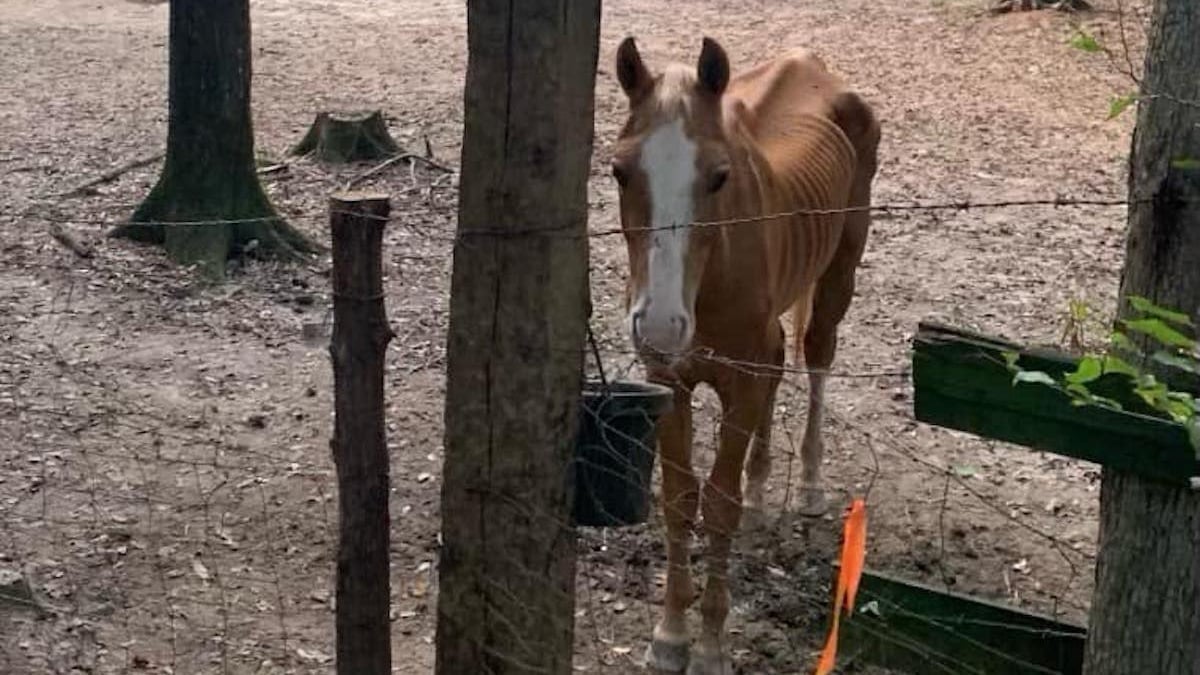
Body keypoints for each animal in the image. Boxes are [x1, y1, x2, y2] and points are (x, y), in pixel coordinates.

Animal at [609, 36, 883, 672]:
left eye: (719, 177)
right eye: (618, 171)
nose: (660, 323)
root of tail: (813, 67)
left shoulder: (740, 382)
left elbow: (719, 504)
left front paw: (710, 645)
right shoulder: (671, 381)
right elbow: (681, 499)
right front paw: (670, 634)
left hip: (838, 274)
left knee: (816, 357)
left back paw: (807, 485)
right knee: (781, 363)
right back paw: (763, 492)